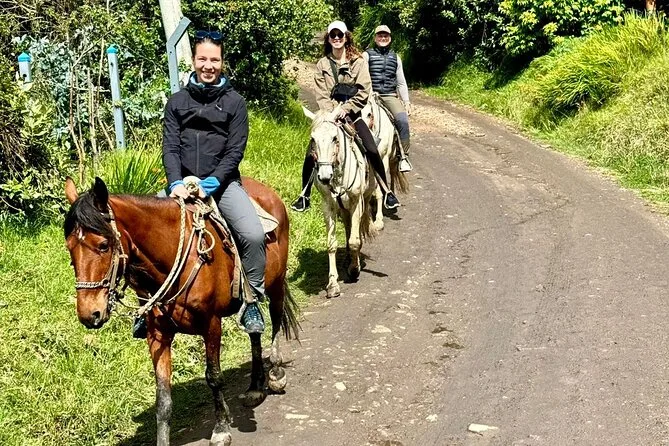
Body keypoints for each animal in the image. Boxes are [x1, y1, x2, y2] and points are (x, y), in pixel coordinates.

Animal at [63, 176, 299, 446]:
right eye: (69, 248)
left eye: (103, 245)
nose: (89, 314)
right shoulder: (157, 334)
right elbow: (163, 395)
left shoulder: (211, 324)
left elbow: (214, 376)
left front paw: (221, 428)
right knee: (254, 330)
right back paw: (255, 387)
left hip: (276, 283)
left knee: (276, 319)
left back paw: (276, 374)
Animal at [302, 106, 378, 298]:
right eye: (313, 139)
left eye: (334, 138)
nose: (324, 176)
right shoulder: (328, 206)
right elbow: (332, 244)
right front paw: (332, 284)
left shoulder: (357, 202)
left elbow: (354, 240)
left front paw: (355, 269)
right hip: (343, 207)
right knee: (349, 227)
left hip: (363, 198)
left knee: (356, 230)